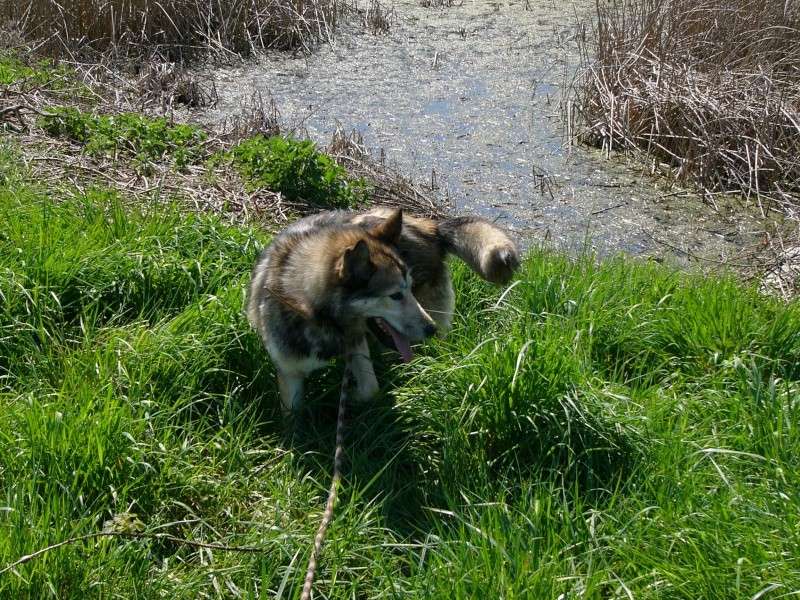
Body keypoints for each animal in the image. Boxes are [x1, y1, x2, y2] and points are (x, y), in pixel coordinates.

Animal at [248, 205, 520, 412]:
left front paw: (350, 400)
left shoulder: (356, 344)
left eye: (411, 286)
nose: (430, 329)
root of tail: (432, 228)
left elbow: (370, 389)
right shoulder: (290, 373)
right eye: (395, 295)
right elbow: (294, 420)